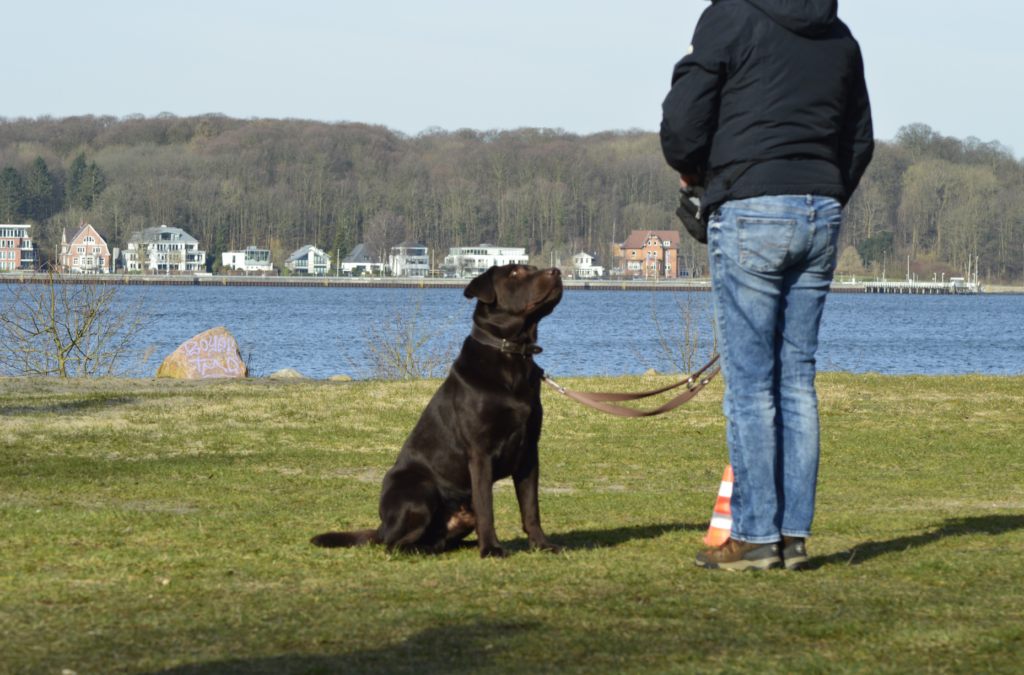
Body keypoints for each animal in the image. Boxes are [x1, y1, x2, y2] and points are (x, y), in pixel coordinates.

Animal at [311, 264, 563, 558]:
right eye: (515, 273)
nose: (556, 271)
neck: (512, 357)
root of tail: (382, 526)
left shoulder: (529, 452)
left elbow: (531, 507)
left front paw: (542, 545)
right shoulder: (480, 452)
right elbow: (486, 507)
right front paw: (491, 549)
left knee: (438, 540)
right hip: (420, 490)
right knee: (396, 545)